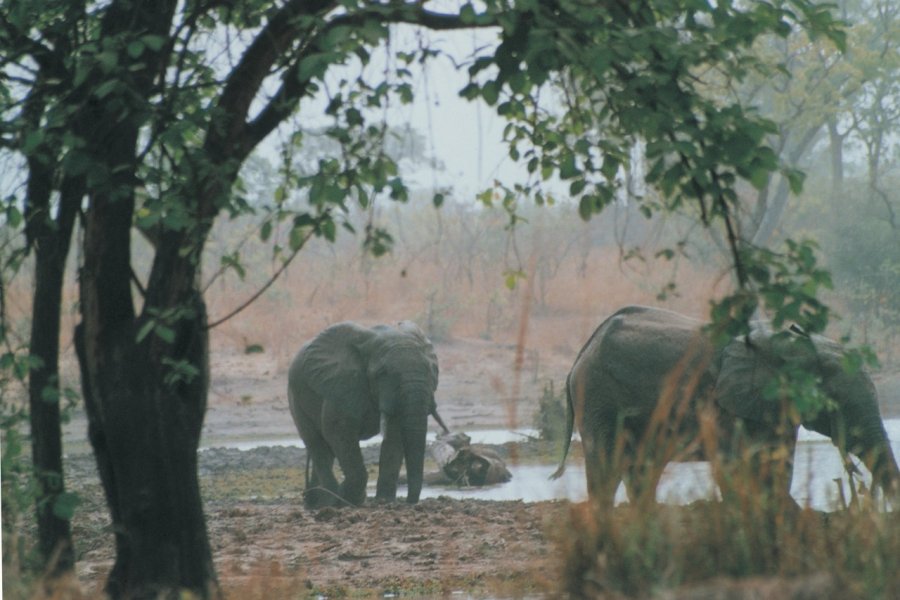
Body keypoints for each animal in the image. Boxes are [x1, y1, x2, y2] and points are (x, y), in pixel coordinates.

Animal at [288, 318, 450, 506]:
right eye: (383, 373)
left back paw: (316, 503)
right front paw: (350, 499)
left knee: (326, 451)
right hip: (295, 396)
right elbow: (338, 432)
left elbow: (394, 437)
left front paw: (384, 501)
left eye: (429, 369)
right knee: (316, 444)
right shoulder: (342, 385)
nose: (410, 502)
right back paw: (330, 501)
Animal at [548, 304, 900, 506]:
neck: (793, 345)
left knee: (643, 469)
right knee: (608, 468)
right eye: (834, 404)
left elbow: (778, 464)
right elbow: (734, 466)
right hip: (597, 397)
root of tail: (581, 354)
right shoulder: (726, 405)